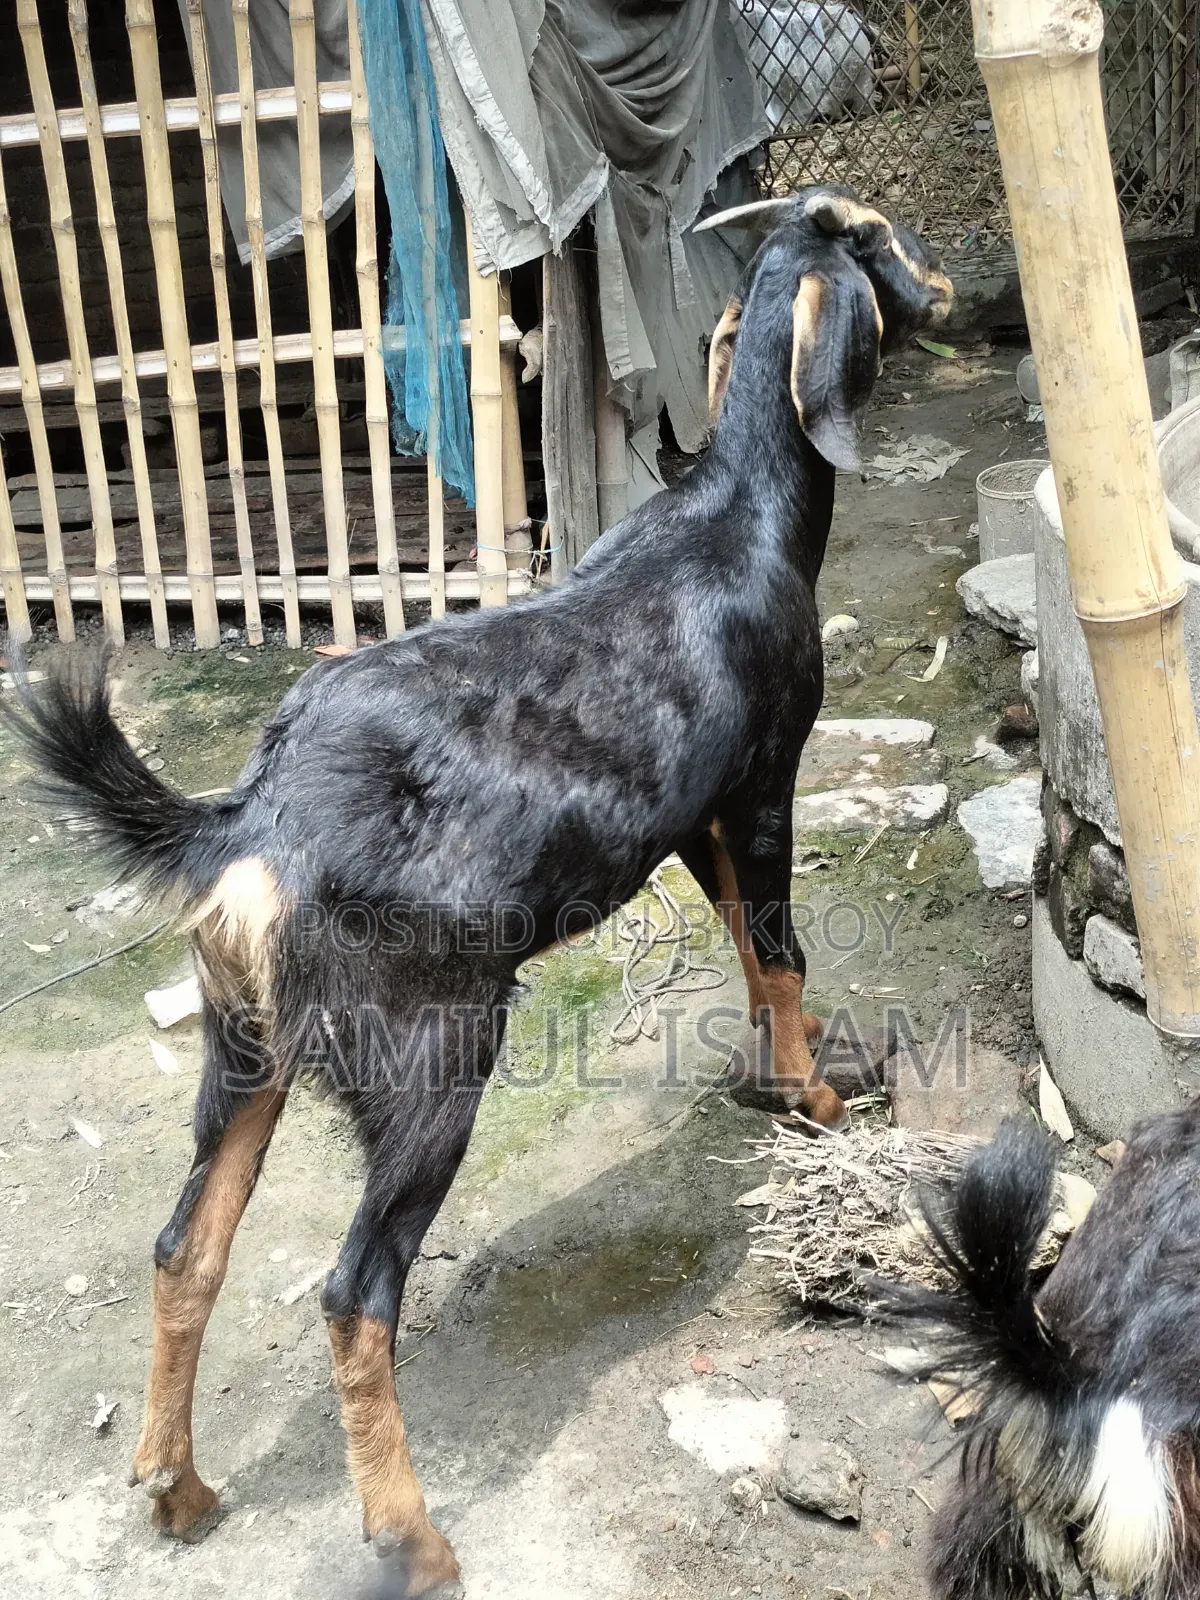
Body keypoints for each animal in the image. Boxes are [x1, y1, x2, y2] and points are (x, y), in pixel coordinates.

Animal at [4, 186, 951, 1595]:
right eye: (880, 240)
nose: (945, 285)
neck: (737, 516)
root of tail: (262, 815)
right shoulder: (767, 777)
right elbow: (779, 941)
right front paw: (819, 1100)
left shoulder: (690, 818)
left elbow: (741, 933)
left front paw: (784, 1072)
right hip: (433, 1053)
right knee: (354, 1293)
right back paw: (410, 1535)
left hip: (248, 1043)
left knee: (186, 1247)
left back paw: (176, 1487)